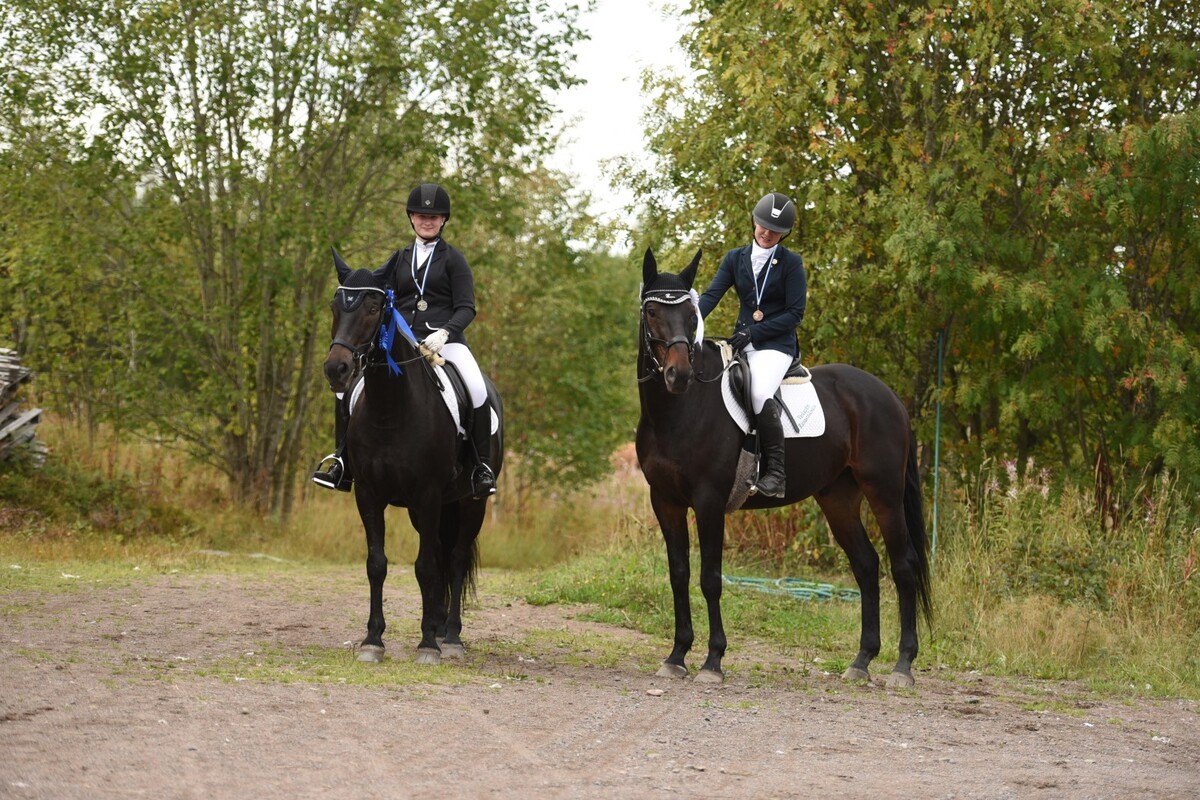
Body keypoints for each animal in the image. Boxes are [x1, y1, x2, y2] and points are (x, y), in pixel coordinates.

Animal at [322, 250, 504, 664]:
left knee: (454, 558)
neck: (391, 411)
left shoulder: (429, 494)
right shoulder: (369, 495)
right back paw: (435, 626)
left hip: (469, 502)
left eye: (374, 307)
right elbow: (377, 564)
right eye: (336, 305)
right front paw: (373, 640)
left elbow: (425, 567)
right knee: (438, 553)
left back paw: (449, 636)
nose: (336, 369)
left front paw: (428, 646)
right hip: (427, 512)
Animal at [636, 248, 931, 688]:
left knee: (903, 565)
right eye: (653, 311)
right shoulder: (666, 501)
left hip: (884, 493)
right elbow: (679, 574)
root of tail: (887, 395)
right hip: (839, 499)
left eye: (690, 315)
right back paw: (861, 661)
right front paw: (676, 656)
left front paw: (713, 660)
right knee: (866, 566)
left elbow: (710, 579)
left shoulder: (708, 502)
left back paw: (902, 666)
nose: (679, 375)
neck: (676, 410)